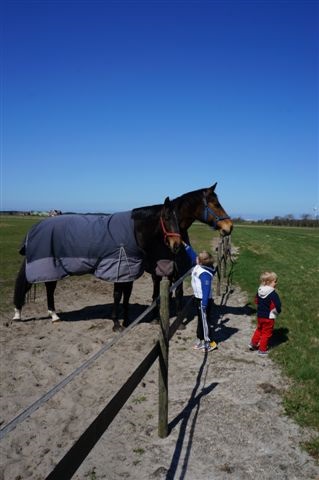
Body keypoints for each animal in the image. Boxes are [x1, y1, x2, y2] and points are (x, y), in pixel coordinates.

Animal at [13, 196, 182, 330]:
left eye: (177, 219)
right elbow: (117, 296)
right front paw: (116, 324)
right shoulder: (118, 271)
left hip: (53, 267)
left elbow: (126, 297)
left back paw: (53, 315)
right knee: (32, 286)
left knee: (49, 288)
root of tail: (35, 227)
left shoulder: (128, 272)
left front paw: (126, 322)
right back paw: (18, 314)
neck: (133, 232)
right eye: (167, 218)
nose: (177, 245)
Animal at [111, 182, 234, 324]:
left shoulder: (178, 271)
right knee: (120, 293)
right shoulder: (159, 272)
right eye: (215, 204)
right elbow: (157, 294)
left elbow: (177, 292)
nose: (229, 226)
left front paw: (177, 320)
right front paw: (157, 317)